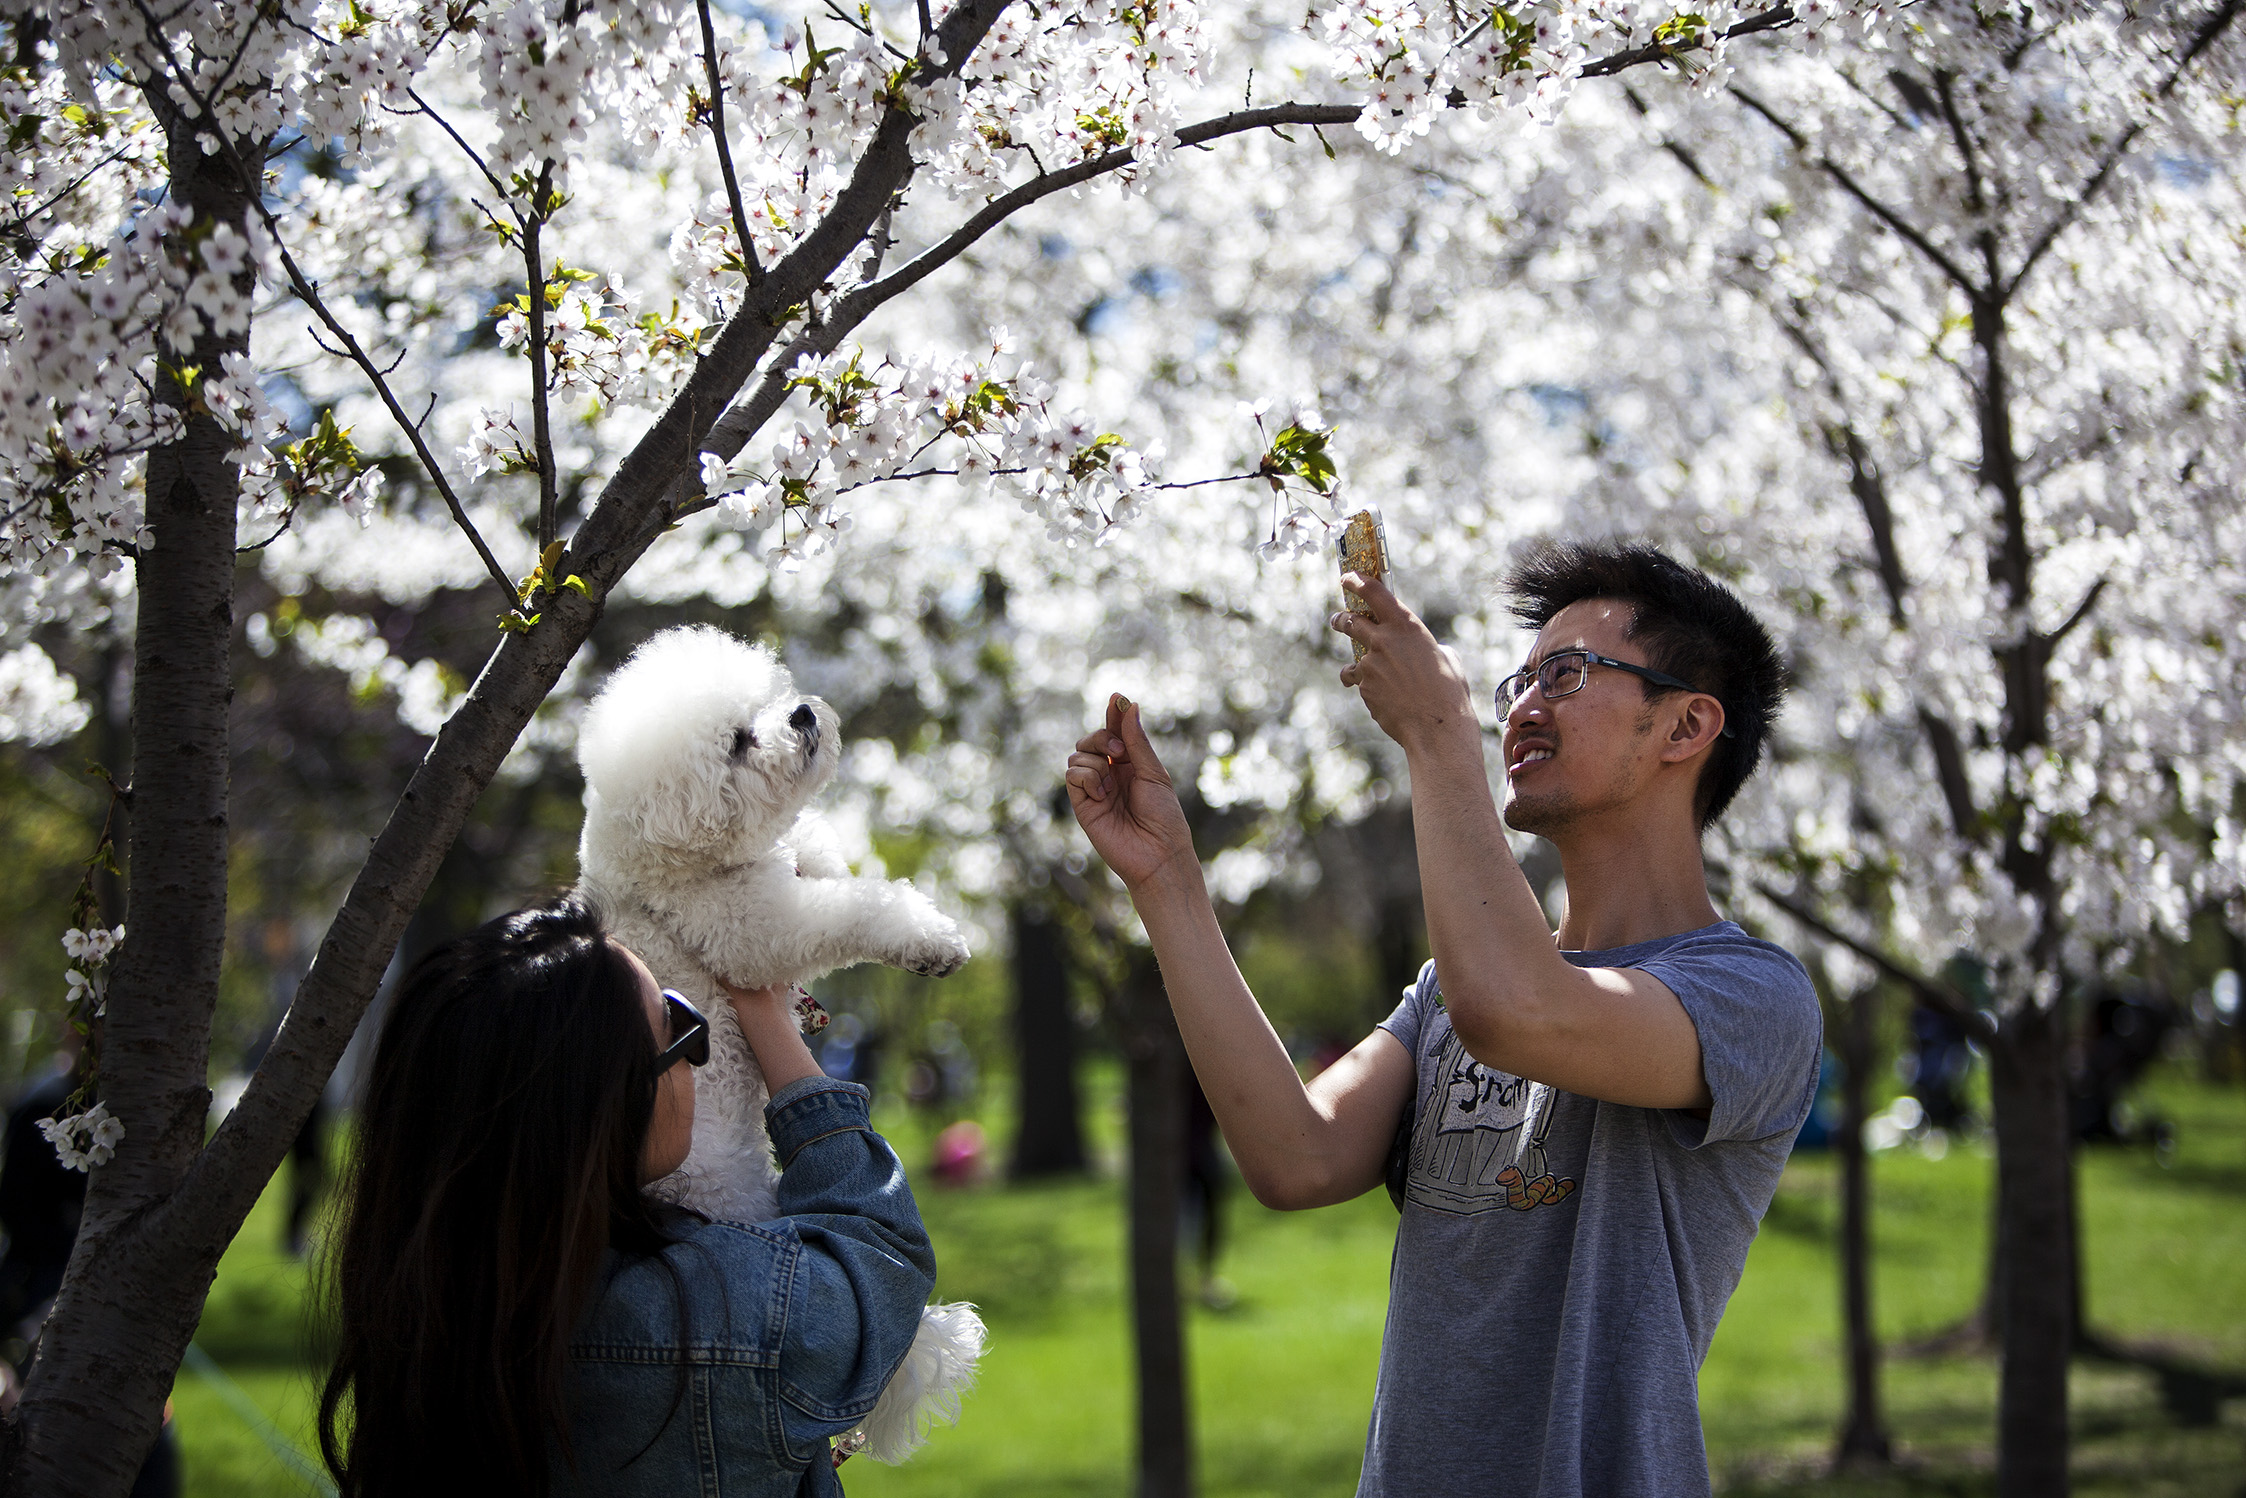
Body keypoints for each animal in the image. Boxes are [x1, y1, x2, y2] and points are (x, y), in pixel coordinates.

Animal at [574, 624, 979, 1464]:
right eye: (735, 742)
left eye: (759, 699)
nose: (799, 714)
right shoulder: (754, 926)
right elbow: (853, 909)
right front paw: (930, 940)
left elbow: (818, 857)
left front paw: (816, 845)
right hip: (738, 1204)